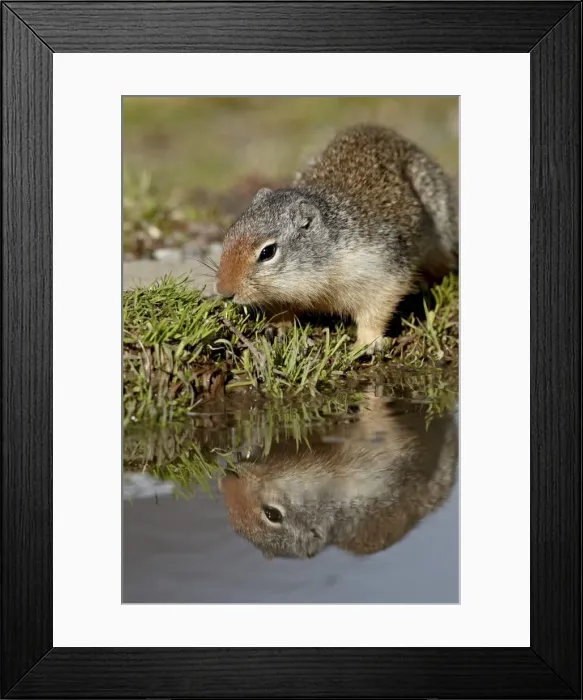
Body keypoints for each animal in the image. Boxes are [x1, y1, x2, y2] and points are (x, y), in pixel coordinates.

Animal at [214, 123, 458, 353]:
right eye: (228, 235)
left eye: (267, 252)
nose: (224, 291)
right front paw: (277, 327)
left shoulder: (382, 271)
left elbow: (376, 311)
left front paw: (367, 343)